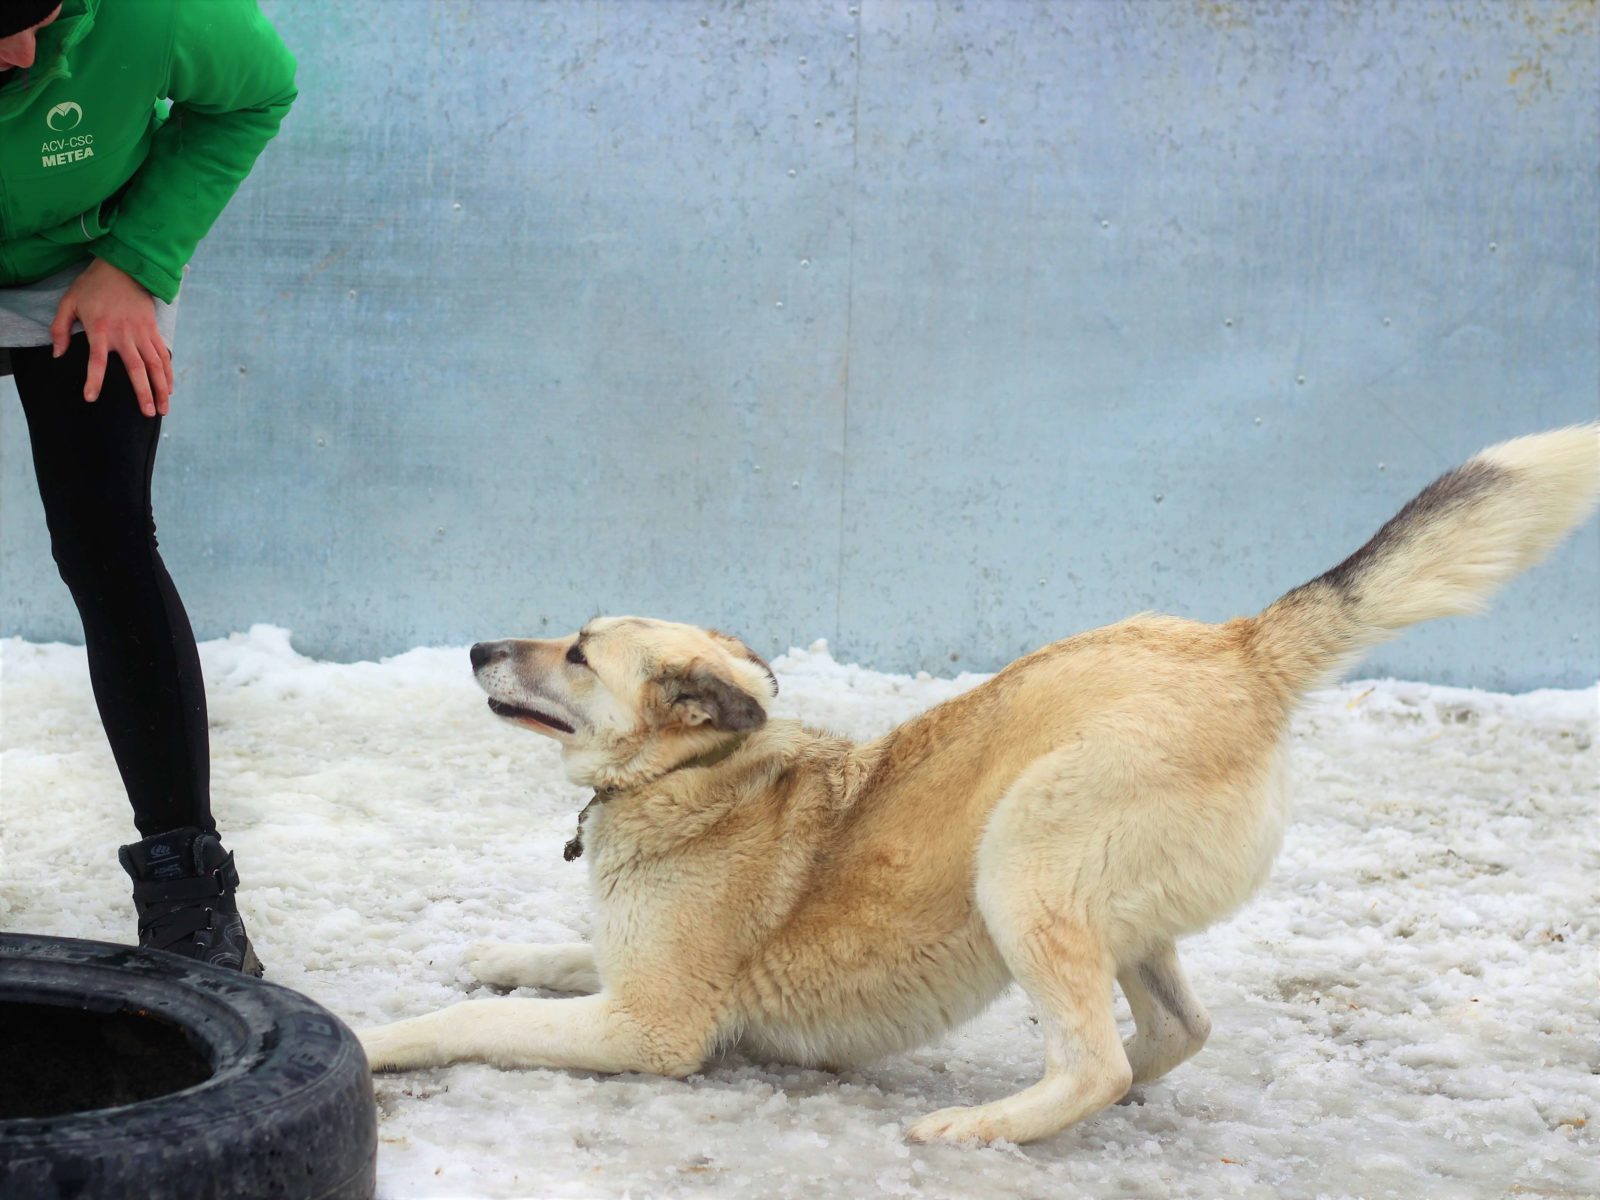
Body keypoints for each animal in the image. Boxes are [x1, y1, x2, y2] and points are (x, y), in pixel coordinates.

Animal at [363, 428, 1600, 1145]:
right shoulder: (628, 973)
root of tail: (1238, 647)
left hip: (1021, 864)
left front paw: (377, 1043)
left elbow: (467, 1019)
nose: (476, 647)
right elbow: (546, 953)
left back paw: (984, 1129)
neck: (693, 773)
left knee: (1093, 1057)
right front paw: (497, 948)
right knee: (1172, 1030)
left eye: (576, 653)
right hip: (1107, 904)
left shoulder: (650, 1024)